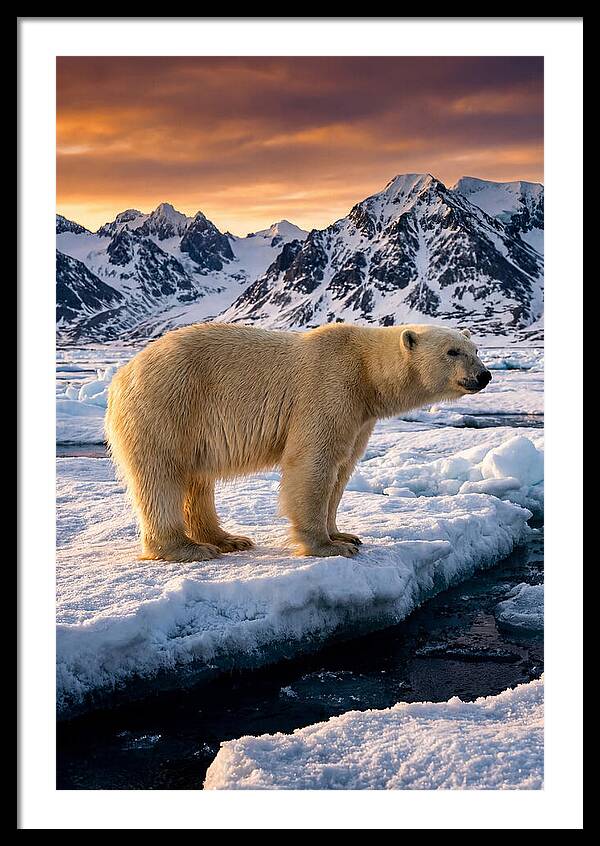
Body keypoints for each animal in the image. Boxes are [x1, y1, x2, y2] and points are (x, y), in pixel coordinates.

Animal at [105, 322, 491, 562]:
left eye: (475, 349)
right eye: (453, 351)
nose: (484, 375)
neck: (366, 371)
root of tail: (122, 374)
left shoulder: (359, 416)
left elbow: (342, 469)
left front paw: (344, 535)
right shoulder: (329, 387)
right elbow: (313, 463)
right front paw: (327, 547)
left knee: (197, 480)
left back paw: (227, 538)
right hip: (169, 403)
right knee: (162, 474)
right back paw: (187, 548)